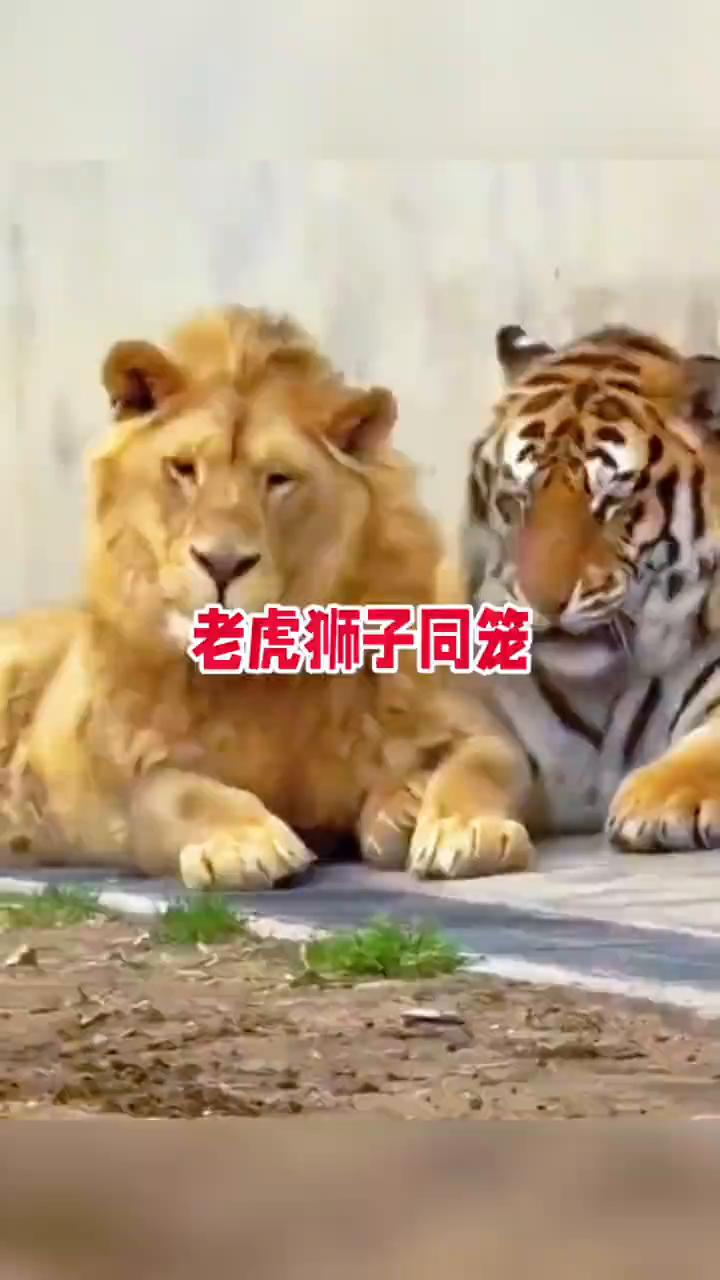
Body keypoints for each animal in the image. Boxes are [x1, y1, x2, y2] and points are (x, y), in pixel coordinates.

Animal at [455, 320, 720, 860]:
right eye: (519, 498)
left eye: (612, 501)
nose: (544, 602)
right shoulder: (507, 729)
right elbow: (474, 761)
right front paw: (459, 830)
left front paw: (656, 801)